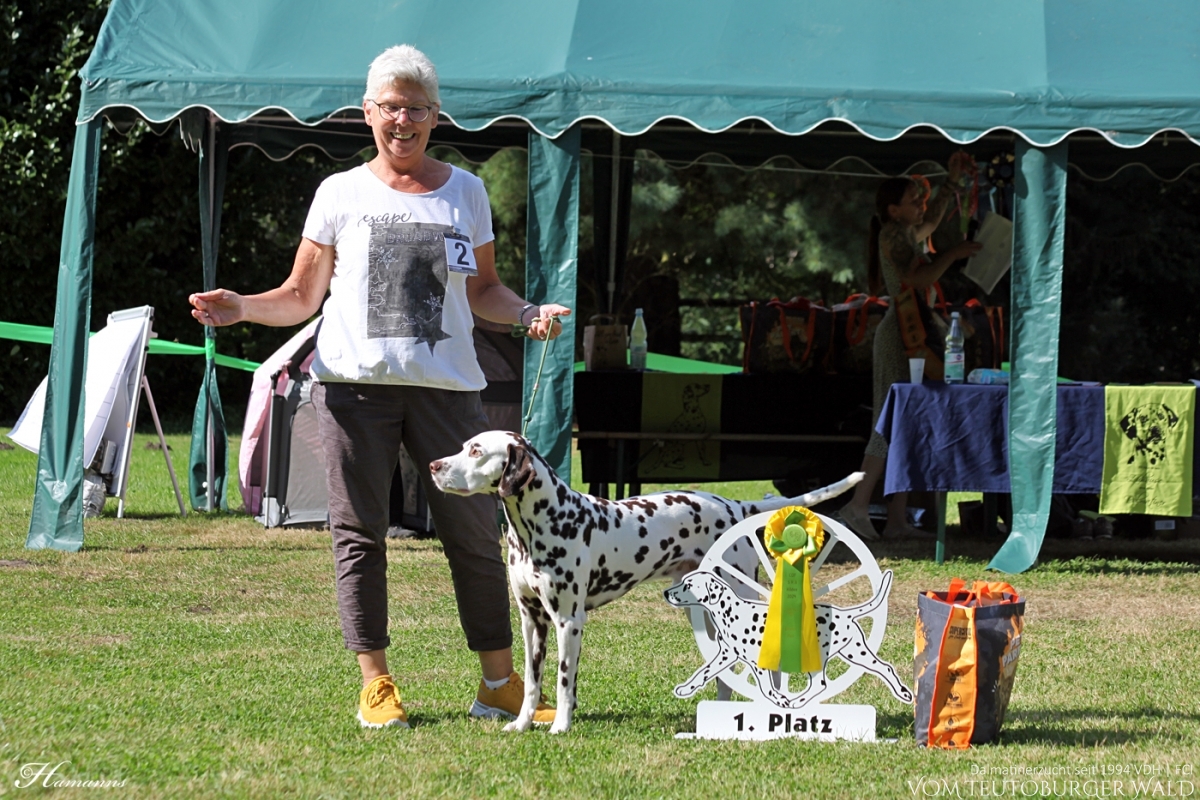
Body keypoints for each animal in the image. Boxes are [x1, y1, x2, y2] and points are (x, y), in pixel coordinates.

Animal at [432, 431, 864, 734]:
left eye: (475, 451)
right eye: (464, 446)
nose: (435, 465)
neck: (544, 522)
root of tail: (735, 505)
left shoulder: (569, 623)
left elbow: (564, 681)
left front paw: (561, 727)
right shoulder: (531, 622)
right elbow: (532, 685)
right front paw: (522, 724)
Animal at [667, 568, 907, 705]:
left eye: (688, 585)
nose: (666, 593)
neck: (732, 612)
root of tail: (844, 613)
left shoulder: (758, 664)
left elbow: (767, 689)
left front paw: (779, 699)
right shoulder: (725, 656)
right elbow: (703, 673)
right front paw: (686, 689)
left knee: (820, 685)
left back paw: (795, 702)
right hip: (857, 653)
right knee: (884, 668)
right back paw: (904, 693)